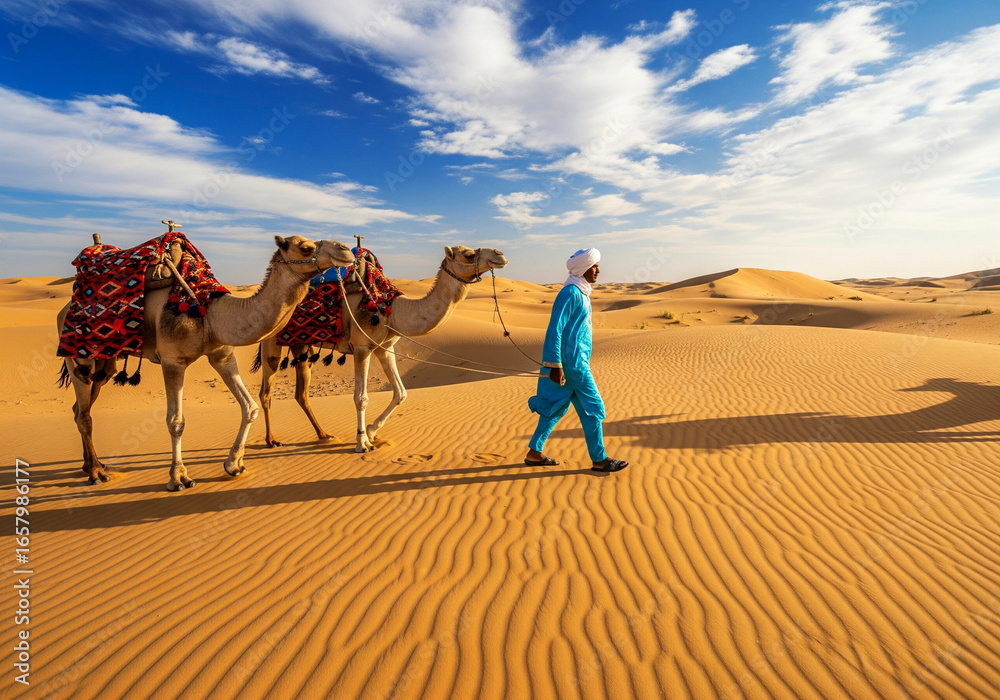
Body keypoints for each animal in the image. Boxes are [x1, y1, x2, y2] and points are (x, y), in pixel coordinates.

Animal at [57, 234, 355, 490]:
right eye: (305, 248)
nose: (345, 250)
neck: (211, 313)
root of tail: (64, 310)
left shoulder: (222, 354)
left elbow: (250, 407)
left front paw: (234, 465)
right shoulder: (173, 361)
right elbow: (176, 421)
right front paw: (179, 478)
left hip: (104, 364)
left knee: (79, 408)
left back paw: (89, 466)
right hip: (79, 357)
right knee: (84, 414)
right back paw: (97, 473)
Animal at [256, 245, 508, 452]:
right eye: (469, 255)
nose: (500, 254)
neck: (393, 310)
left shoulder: (384, 348)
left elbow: (400, 392)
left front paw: (371, 431)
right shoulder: (361, 347)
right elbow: (361, 397)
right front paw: (362, 443)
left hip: (300, 345)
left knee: (301, 393)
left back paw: (324, 435)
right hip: (271, 341)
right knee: (266, 392)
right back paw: (271, 441)